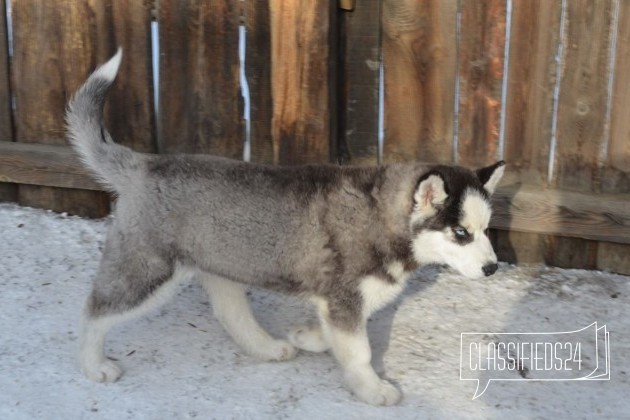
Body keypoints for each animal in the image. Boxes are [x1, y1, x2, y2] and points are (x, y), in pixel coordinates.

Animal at [66, 50, 506, 406]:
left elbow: (338, 333)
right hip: (147, 270)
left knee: (230, 314)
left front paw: (306, 337)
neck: (381, 216)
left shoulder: (339, 301)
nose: (492, 269)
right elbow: (359, 350)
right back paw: (93, 365)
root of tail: (142, 164)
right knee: (93, 312)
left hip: (224, 263)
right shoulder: (345, 297)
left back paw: (268, 348)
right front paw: (372, 390)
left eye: (486, 230)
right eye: (460, 233)